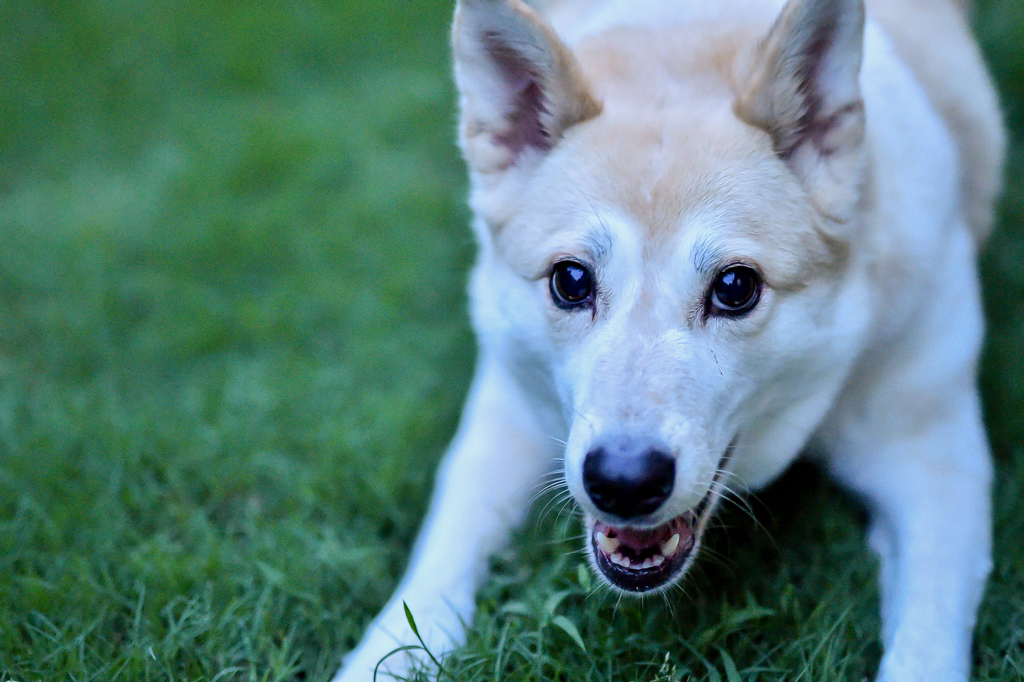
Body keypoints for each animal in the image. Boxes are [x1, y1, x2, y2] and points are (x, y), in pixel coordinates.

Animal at [333, 0, 999, 675]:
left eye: (735, 287)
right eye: (571, 280)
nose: (623, 483)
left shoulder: (936, 462)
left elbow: (926, 647)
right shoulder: (505, 410)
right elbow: (439, 561)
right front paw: (380, 657)